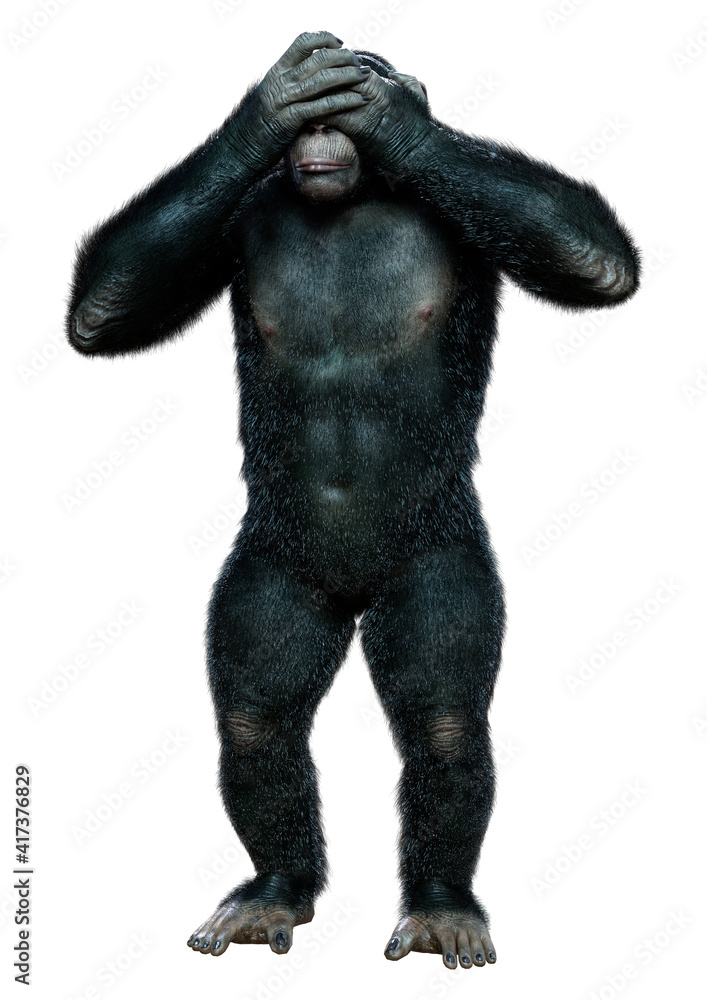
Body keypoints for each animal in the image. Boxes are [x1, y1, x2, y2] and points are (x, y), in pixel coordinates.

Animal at [66, 30, 639, 969]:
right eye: (308, 121)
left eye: (345, 110)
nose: (321, 127)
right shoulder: (231, 219)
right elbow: (105, 309)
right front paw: (268, 106)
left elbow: (593, 261)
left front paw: (392, 113)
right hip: (276, 570)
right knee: (258, 720)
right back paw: (276, 888)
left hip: (434, 561)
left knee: (443, 722)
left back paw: (441, 904)